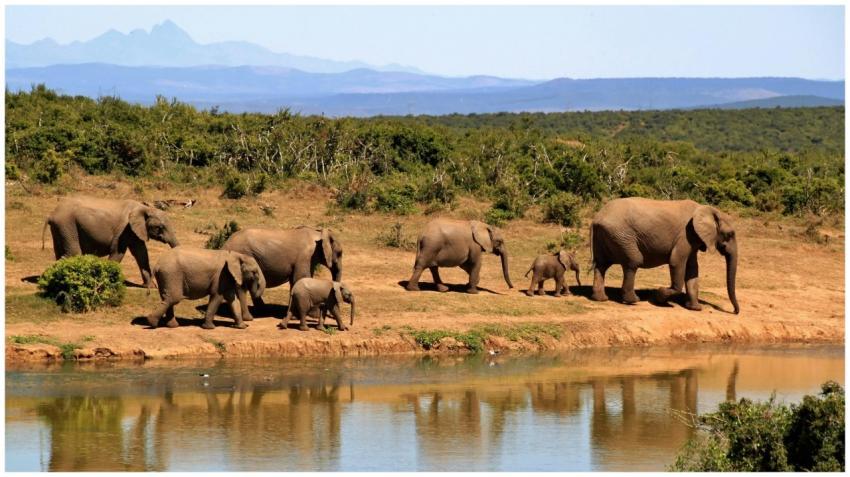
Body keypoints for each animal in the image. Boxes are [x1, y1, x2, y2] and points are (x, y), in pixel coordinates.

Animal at [43, 197, 179, 287]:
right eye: (160, 227)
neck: (145, 208)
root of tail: (51, 214)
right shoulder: (124, 229)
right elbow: (118, 252)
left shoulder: (135, 231)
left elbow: (141, 254)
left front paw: (150, 287)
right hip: (67, 225)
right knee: (73, 253)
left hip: (60, 228)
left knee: (61, 253)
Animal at [589, 197, 739, 314]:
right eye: (730, 234)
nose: (734, 311)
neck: (706, 209)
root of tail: (597, 218)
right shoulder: (685, 235)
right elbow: (676, 262)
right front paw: (659, 297)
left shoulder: (693, 239)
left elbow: (692, 270)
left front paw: (695, 308)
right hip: (621, 235)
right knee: (633, 261)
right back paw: (633, 300)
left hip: (607, 236)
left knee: (601, 265)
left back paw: (601, 299)